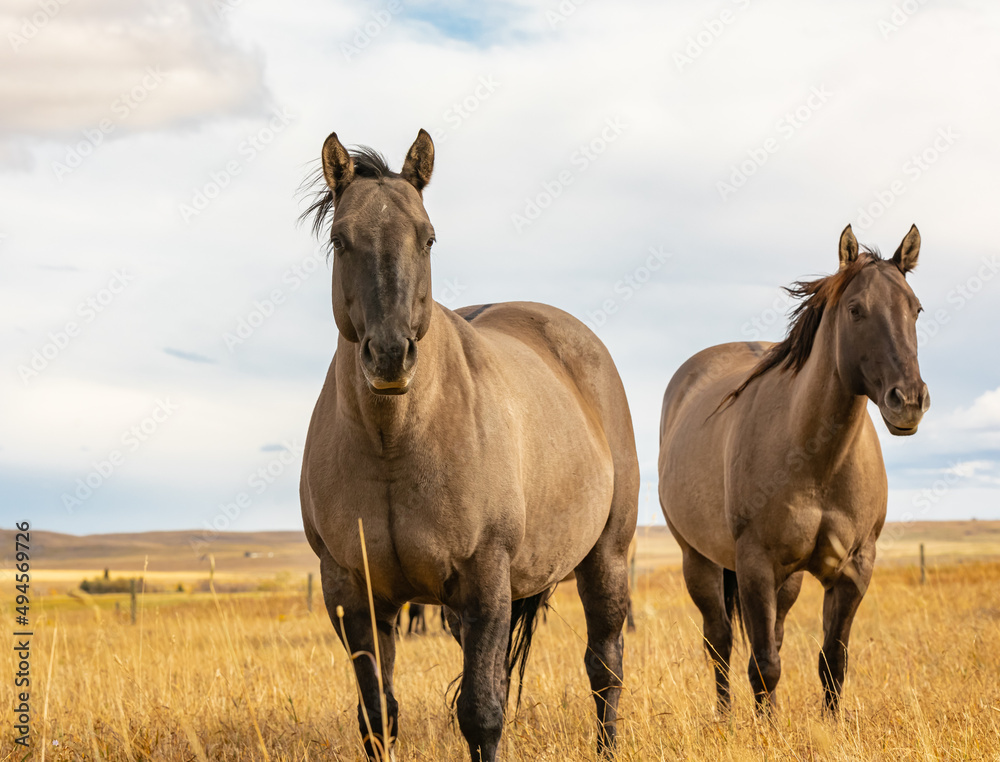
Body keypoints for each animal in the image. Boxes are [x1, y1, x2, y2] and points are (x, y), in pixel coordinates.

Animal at [299, 130, 639, 761]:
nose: (390, 355)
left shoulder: (486, 582)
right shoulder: (354, 594)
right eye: (340, 240)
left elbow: (482, 714)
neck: (393, 444)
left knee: (604, 667)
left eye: (427, 236)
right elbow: (378, 716)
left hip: (606, 557)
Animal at [657, 225, 929, 715]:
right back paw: (724, 718)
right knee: (720, 642)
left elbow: (831, 662)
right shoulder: (755, 566)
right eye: (856, 310)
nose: (910, 400)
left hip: (789, 579)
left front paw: (831, 725)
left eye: (914, 309)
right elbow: (764, 666)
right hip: (699, 561)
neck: (818, 462)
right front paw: (767, 728)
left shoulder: (853, 570)